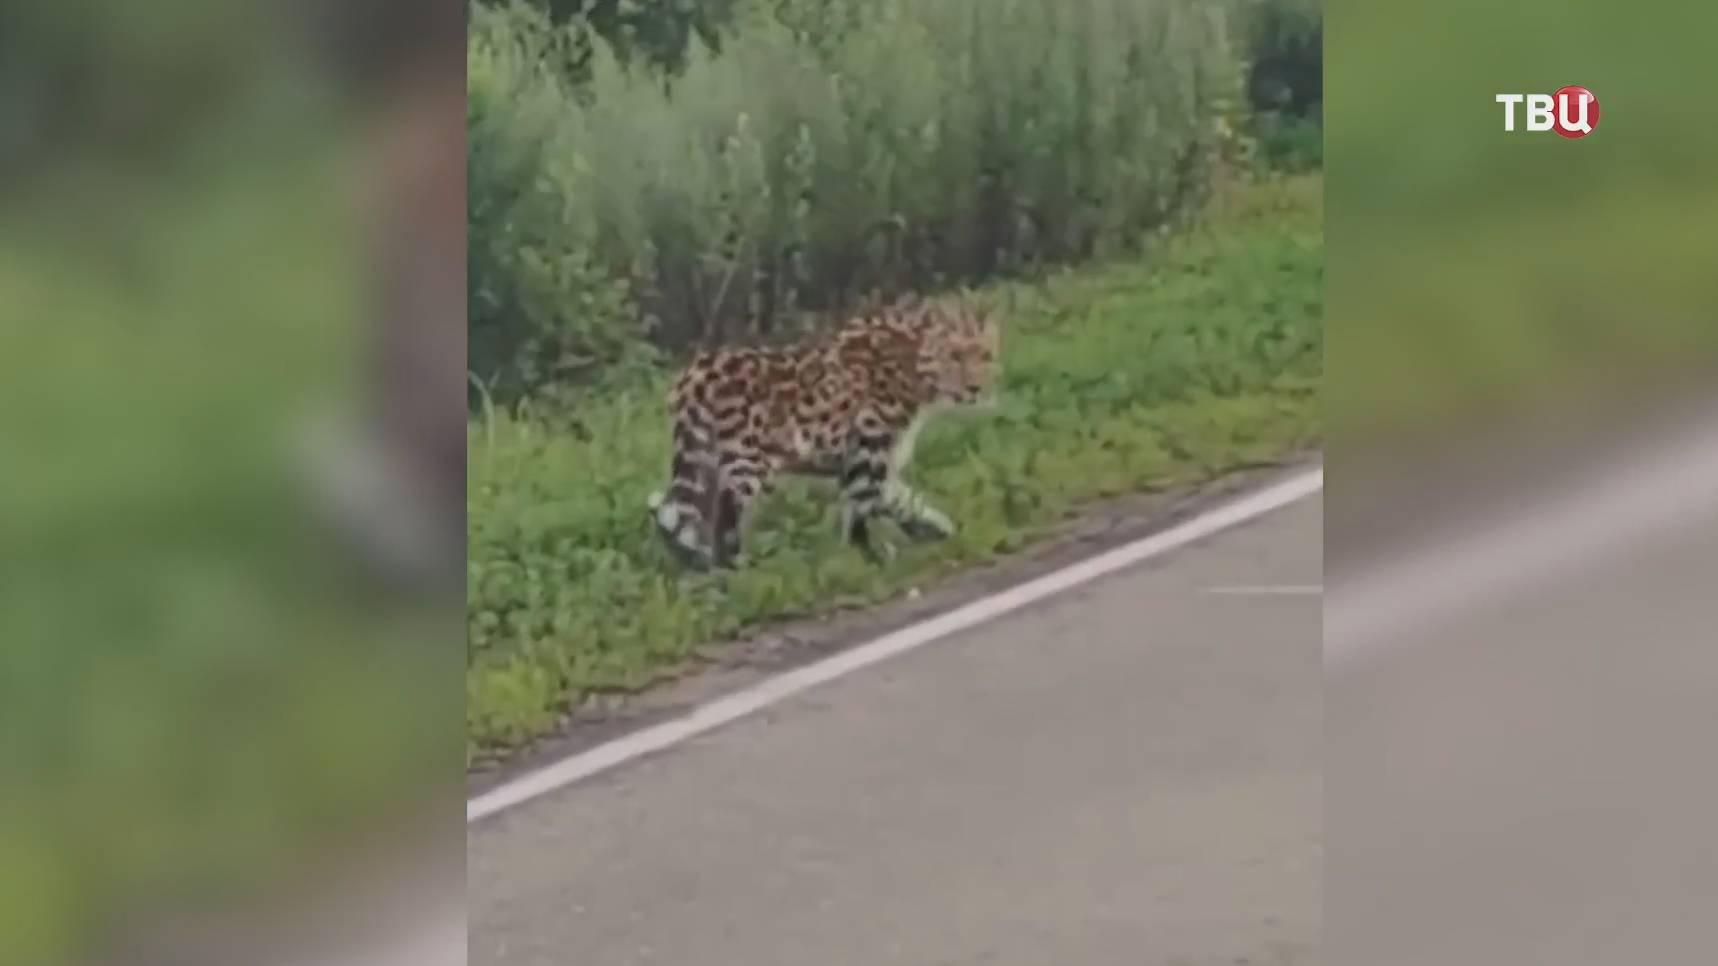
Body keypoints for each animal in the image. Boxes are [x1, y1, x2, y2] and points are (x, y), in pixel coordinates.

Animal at [656, 292, 1003, 563]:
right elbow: (879, 503)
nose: (975, 388)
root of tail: (691, 373)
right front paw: (900, 544)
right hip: (745, 465)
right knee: (720, 522)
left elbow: (884, 504)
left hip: (707, 464)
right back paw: (734, 571)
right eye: (955, 356)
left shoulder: (870, 462)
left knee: (678, 516)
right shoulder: (864, 457)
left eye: (986, 355)